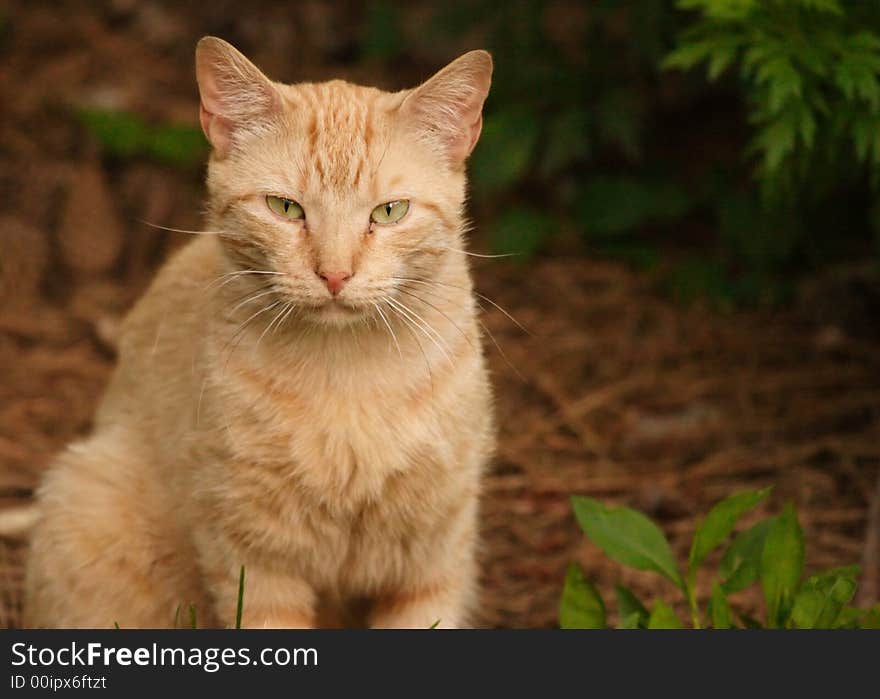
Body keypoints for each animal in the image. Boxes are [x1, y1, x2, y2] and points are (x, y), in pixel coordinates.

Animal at [22, 35, 496, 632]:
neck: (348, 378)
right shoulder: (254, 560)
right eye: (284, 207)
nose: (334, 274)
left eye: (389, 212)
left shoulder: (431, 559)